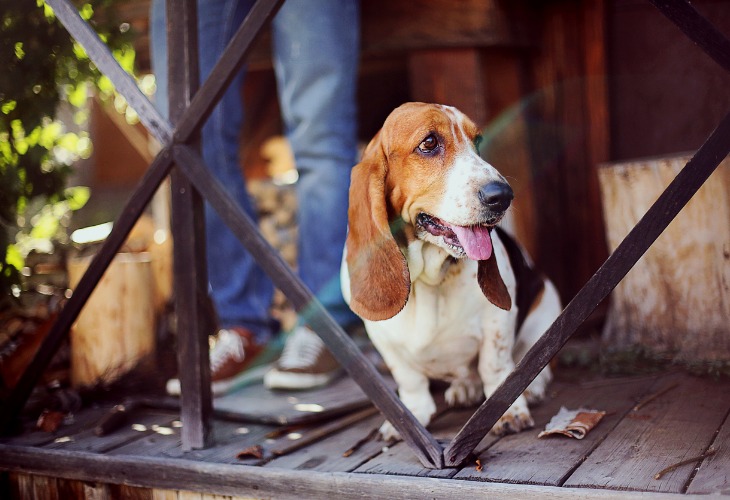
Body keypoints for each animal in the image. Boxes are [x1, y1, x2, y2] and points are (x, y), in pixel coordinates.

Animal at [338, 103, 560, 440]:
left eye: (478, 141)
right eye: (429, 143)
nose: (502, 195)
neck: (428, 281)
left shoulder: (497, 323)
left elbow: (495, 368)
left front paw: (508, 411)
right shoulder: (384, 341)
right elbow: (409, 381)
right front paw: (411, 416)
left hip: (546, 306)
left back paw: (530, 389)